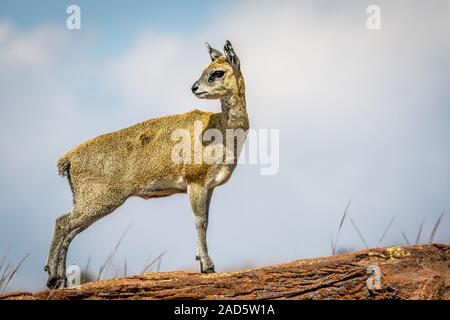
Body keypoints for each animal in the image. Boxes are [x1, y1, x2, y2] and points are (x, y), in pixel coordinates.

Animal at [44, 41, 250, 288]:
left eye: (217, 72)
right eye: (205, 69)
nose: (194, 88)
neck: (223, 131)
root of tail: (68, 158)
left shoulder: (208, 186)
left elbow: (205, 221)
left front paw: (202, 261)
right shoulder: (196, 182)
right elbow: (200, 221)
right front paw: (208, 266)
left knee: (68, 230)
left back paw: (60, 280)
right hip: (98, 200)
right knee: (62, 223)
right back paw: (53, 278)